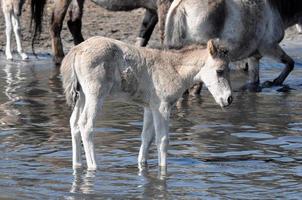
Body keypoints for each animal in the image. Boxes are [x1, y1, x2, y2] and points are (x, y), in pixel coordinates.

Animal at [33, 0, 172, 64]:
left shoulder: (153, 9)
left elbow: (143, 34)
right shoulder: (164, 5)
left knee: (73, 23)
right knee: (55, 23)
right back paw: (59, 58)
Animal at [60, 36, 232, 170]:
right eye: (219, 71)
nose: (229, 99)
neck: (174, 68)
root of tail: (76, 50)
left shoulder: (150, 107)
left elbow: (147, 137)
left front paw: (142, 166)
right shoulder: (162, 107)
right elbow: (162, 139)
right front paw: (163, 170)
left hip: (82, 95)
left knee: (74, 123)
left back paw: (77, 165)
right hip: (95, 94)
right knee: (86, 124)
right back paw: (93, 166)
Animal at [165, 0, 302, 90]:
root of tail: (181, 6)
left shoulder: (254, 57)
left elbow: (254, 82)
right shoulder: (269, 47)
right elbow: (290, 64)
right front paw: (274, 82)